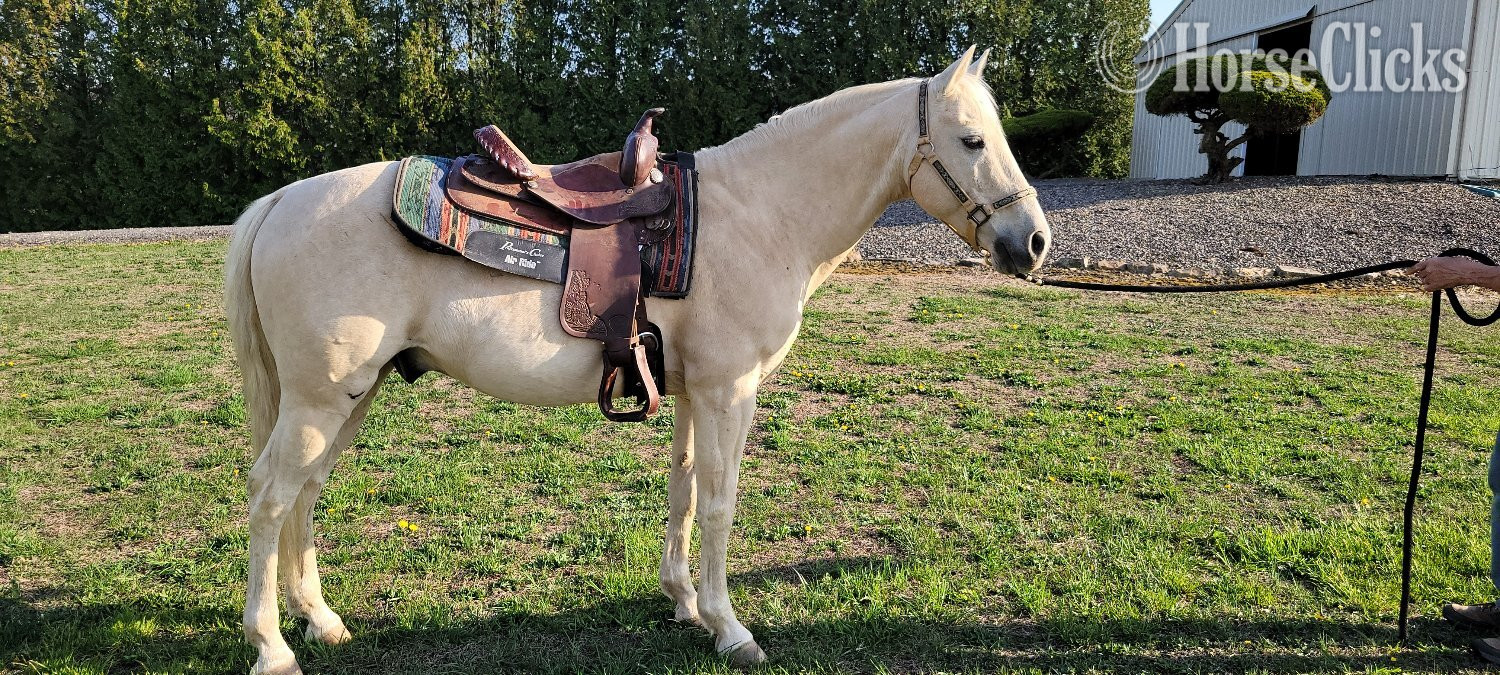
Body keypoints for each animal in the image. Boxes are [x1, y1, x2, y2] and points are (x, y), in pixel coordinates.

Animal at [225, 46, 1050, 674]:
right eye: (972, 141)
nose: (1035, 242)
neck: (759, 213)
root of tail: (281, 202)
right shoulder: (728, 391)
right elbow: (719, 504)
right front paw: (731, 628)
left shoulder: (691, 392)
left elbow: (682, 492)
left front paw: (685, 603)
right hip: (320, 400)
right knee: (270, 495)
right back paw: (271, 645)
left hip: (347, 397)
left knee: (305, 494)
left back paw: (320, 619)